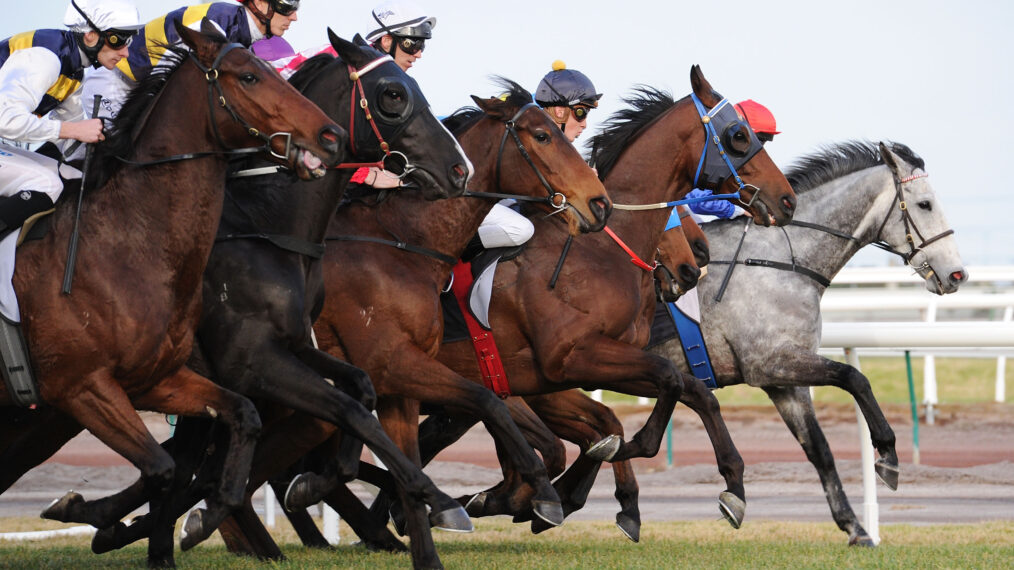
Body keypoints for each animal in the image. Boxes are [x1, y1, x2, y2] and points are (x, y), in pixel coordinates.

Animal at [0, 20, 344, 563]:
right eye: (249, 76)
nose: (331, 136)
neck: (127, 245)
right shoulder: (82, 387)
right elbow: (163, 469)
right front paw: (102, 519)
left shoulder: (158, 378)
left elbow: (239, 420)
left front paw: (209, 511)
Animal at [40, 32, 478, 567]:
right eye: (393, 94)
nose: (459, 169)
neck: (267, 227)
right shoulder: (250, 362)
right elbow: (350, 410)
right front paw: (431, 496)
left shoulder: (294, 346)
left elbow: (360, 391)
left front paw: (321, 481)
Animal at [648, 139, 965, 543]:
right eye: (925, 203)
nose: (957, 274)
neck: (779, 260)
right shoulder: (770, 361)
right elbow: (854, 377)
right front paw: (888, 456)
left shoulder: (783, 379)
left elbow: (819, 449)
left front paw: (855, 526)